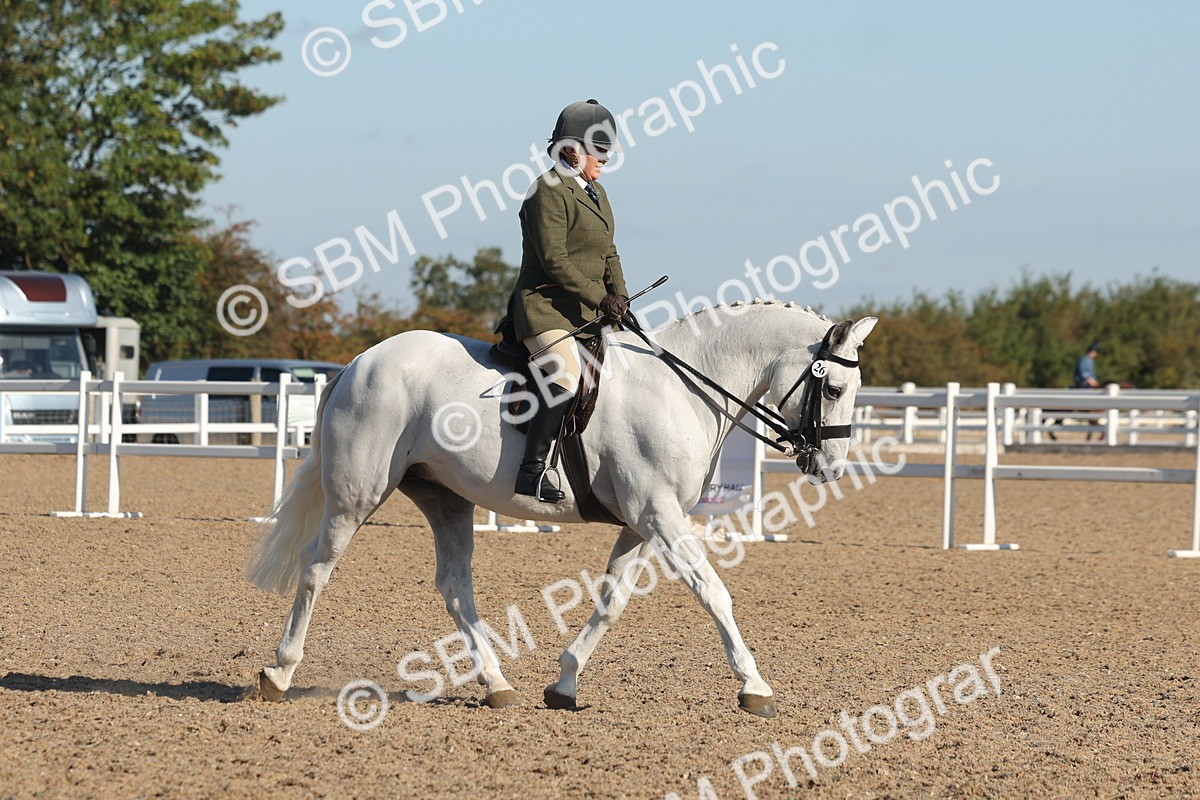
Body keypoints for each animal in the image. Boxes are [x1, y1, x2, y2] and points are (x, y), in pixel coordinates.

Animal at [246, 299, 877, 717]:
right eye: (834, 389)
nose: (831, 467)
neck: (683, 389)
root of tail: (359, 363)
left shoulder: (643, 522)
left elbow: (612, 600)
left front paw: (565, 684)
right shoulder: (660, 515)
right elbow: (713, 592)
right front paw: (755, 688)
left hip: (445, 498)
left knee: (454, 586)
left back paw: (498, 686)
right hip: (357, 495)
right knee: (317, 568)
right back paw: (278, 672)